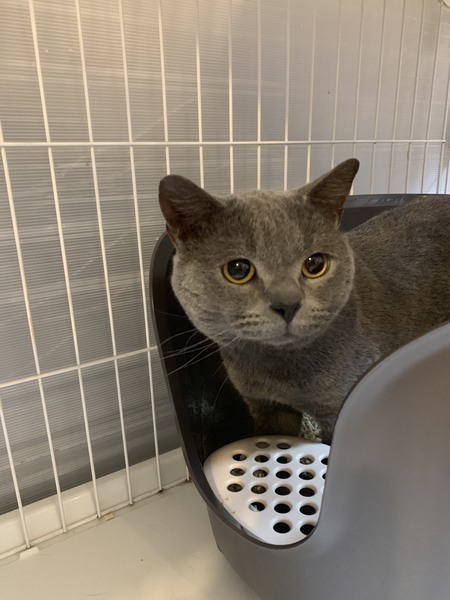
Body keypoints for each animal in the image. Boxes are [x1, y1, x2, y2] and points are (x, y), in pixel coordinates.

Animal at [158, 159, 450, 444]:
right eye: (238, 270)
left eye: (315, 264)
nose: (288, 304)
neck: (278, 372)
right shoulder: (266, 406)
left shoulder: (339, 410)